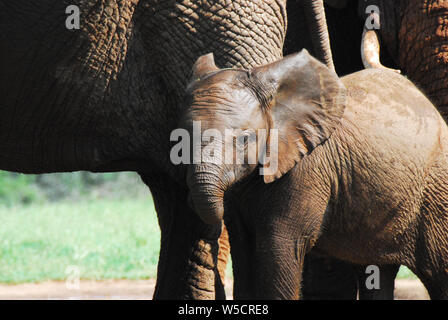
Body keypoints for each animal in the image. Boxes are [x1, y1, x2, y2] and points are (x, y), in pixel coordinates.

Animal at [178, 48, 448, 298]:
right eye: (181, 138)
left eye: (245, 140)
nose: (189, 200)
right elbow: (243, 249)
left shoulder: (306, 169)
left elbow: (280, 245)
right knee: (376, 272)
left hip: (435, 191)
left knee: (439, 271)